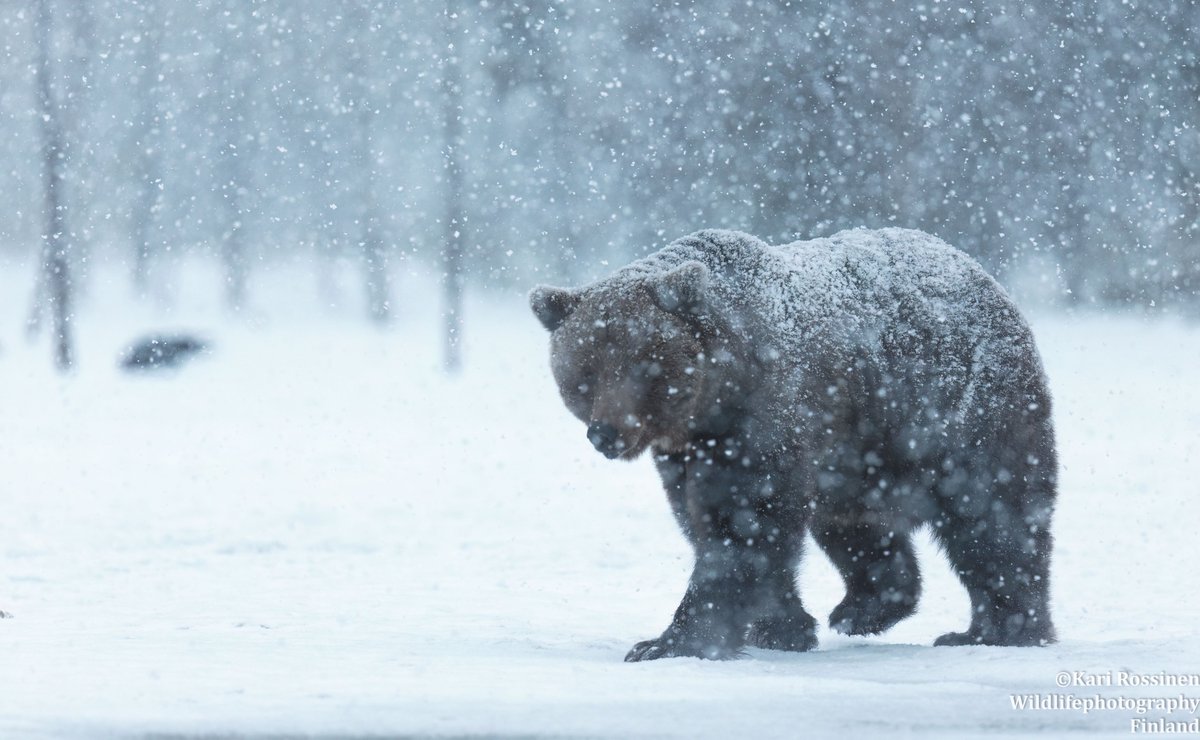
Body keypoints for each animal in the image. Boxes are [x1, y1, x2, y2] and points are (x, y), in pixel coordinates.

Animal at [530, 227, 1056, 662]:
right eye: (584, 371)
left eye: (645, 366)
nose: (607, 433)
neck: (716, 396)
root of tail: (986, 279)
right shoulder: (686, 454)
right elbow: (713, 524)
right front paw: (780, 627)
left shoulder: (757, 421)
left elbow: (744, 524)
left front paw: (666, 642)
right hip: (857, 456)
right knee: (855, 529)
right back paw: (862, 609)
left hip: (961, 413)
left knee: (995, 519)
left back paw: (996, 630)